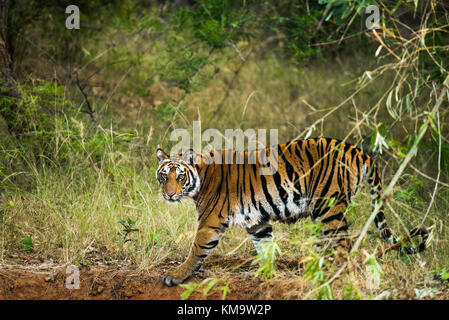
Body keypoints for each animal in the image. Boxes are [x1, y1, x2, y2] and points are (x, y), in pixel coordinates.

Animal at [155, 137, 428, 284]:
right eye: (163, 176)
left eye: (180, 177)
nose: (169, 194)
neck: (200, 179)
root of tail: (357, 150)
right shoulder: (257, 222)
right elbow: (265, 247)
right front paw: (265, 274)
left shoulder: (210, 221)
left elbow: (196, 249)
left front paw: (176, 276)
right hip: (324, 214)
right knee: (329, 245)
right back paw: (316, 271)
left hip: (329, 206)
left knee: (343, 244)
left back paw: (330, 277)